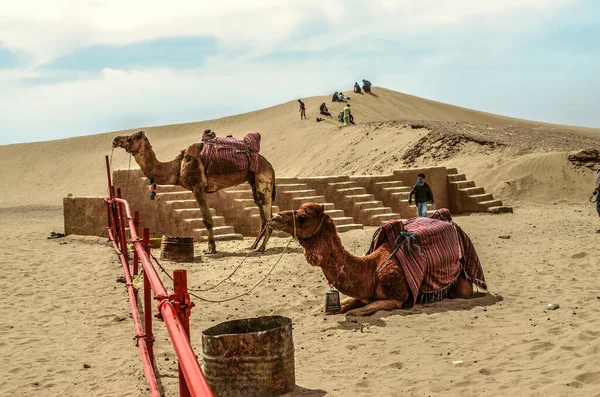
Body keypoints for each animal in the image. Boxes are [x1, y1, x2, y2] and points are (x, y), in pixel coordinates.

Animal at [112, 131, 276, 254]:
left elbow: (207, 220)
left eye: (130, 137)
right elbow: (207, 219)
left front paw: (211, 249)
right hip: (253, 180)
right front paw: (211, 247)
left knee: (267, 211)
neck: (177, 167)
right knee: (261, 211)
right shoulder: (200, 189)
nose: (115, 140)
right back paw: (253, 246)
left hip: (263, 179)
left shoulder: (197, 188)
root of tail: (269, 164)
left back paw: (261, 248)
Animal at [270, 203, 486, 314]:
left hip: (461, 282)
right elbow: (343, 306)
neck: (371, 269)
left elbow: (355, 312)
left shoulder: (396, 299)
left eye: (303, 217)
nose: (274, 218)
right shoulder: (363, 294)